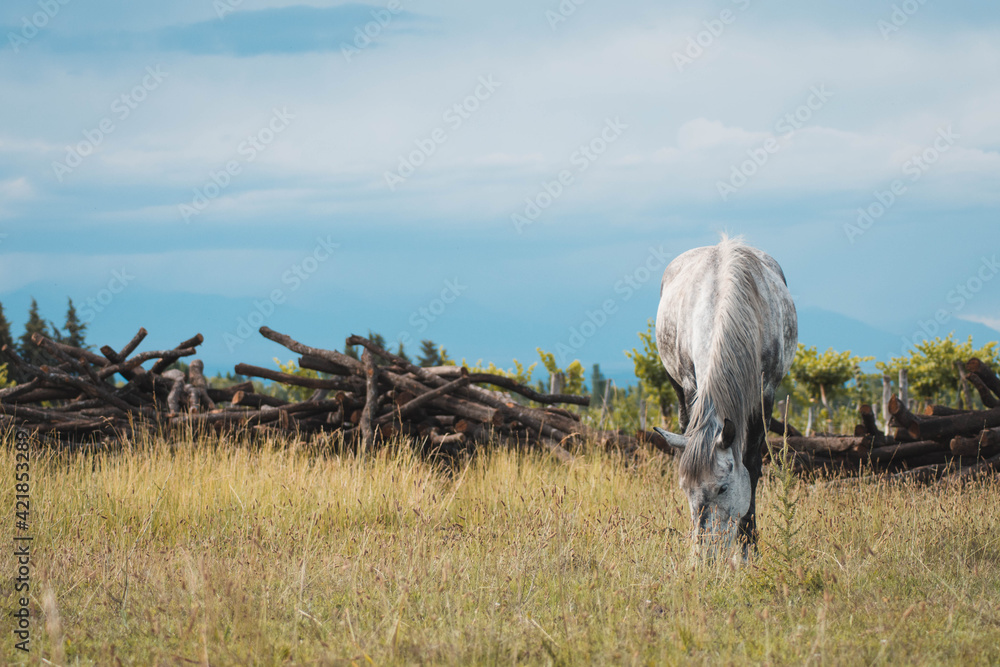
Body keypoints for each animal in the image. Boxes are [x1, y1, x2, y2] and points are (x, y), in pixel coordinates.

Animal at [652, 235, 797, 559]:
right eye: (685, 489)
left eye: (723, 488)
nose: (704, 556)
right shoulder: (690, 385)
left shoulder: (765, 395)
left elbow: (752, 466)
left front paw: (747, 548)